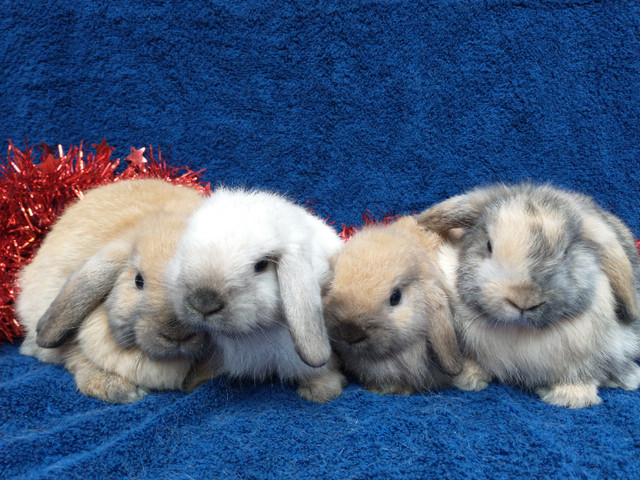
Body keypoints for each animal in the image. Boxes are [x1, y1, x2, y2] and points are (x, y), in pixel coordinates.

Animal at [418, 182, 640, 406]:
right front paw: (468, 378)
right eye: (488, 245)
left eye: (566, 252)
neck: (519, 330)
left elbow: (581, 374)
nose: (523, 300)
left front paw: (570, 397)